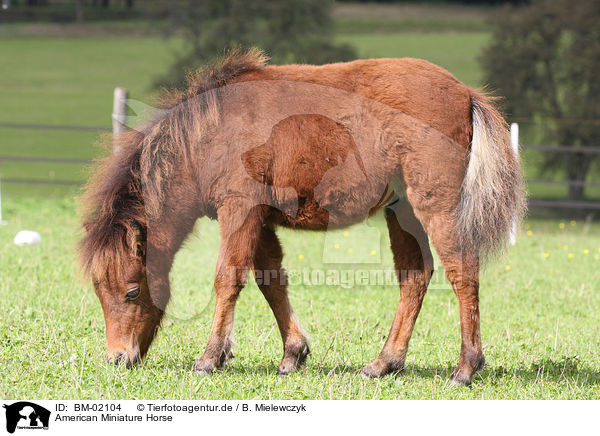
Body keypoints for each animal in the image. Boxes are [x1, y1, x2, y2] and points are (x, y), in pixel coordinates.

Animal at [81, 49, 524, 386]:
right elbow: (270, 280)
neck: (208, 134)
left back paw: (465, 368)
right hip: (403, 212)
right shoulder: (260, 218)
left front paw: (209, 358)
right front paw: (293, 354)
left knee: (462, 270)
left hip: (436, 206)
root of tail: (465, 94)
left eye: (131, 292)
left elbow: (228, 278)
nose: (117, 359)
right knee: (415, 275)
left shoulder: (239, 210)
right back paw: (383, 364)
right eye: (99, 292)